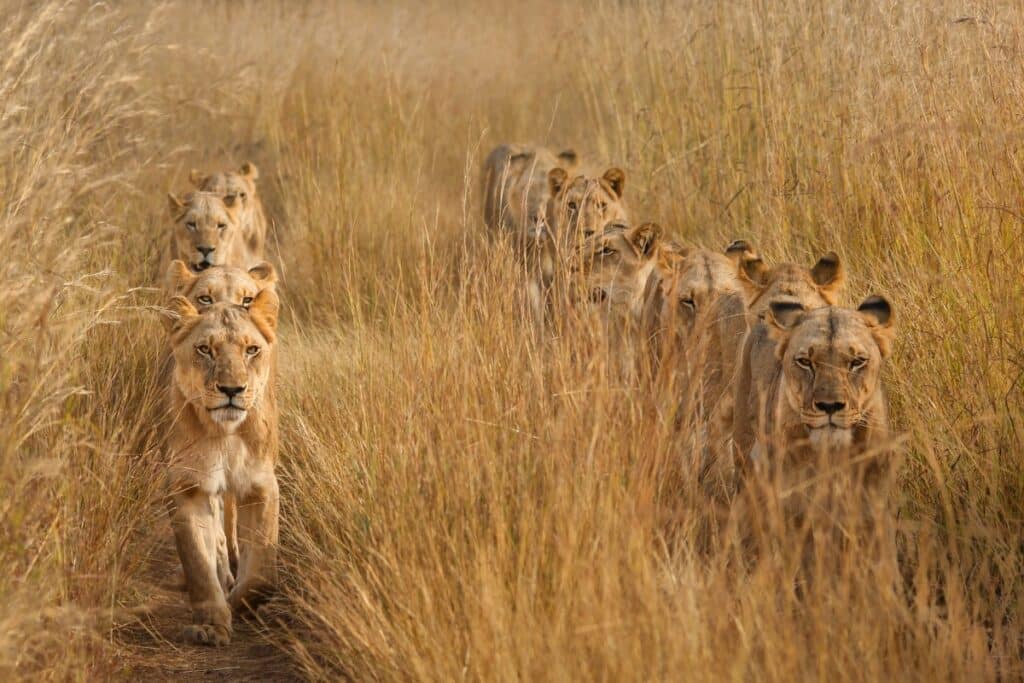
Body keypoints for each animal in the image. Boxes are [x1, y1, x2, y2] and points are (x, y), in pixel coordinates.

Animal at [166, 294, 280, 647]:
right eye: (205, 349)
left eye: (251, 349)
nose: (232, 390)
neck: (226, 435)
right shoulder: (189, 486)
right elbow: (199, 563)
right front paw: (211, 625)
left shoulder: (260, 485)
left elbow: (262, 573)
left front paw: (241, 605)